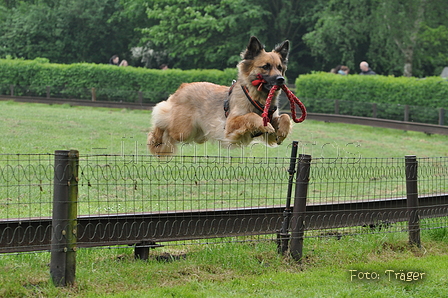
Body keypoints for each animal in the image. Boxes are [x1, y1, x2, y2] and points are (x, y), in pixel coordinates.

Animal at [149, 36, 292, 155]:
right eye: (265, 66)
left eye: (279, 67)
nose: (281, 80)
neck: (257, 97)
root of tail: (183, 86)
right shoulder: (231, 123)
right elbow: (252, 116)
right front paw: (265, 125)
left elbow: (285, 117)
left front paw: (282, 132)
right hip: (183, 131)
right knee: (162, 119)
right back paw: (156, 140)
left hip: (197, 133)